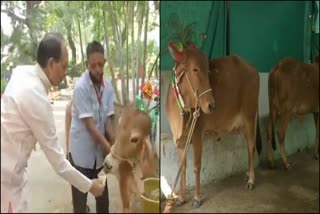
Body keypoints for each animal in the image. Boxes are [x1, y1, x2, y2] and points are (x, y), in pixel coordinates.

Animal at [166, 41, 262, 208]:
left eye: (208, 70)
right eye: (195, 69)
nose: (211, 105)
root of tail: (253, 69)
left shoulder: (197, 134)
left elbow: (196, 166)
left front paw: (197, 198)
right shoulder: (179, 139)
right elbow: (182, 167)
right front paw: (181, 198)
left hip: (250, 117)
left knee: (251, 147)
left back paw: (251, 179)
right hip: (244, 124)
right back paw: (247, 174)